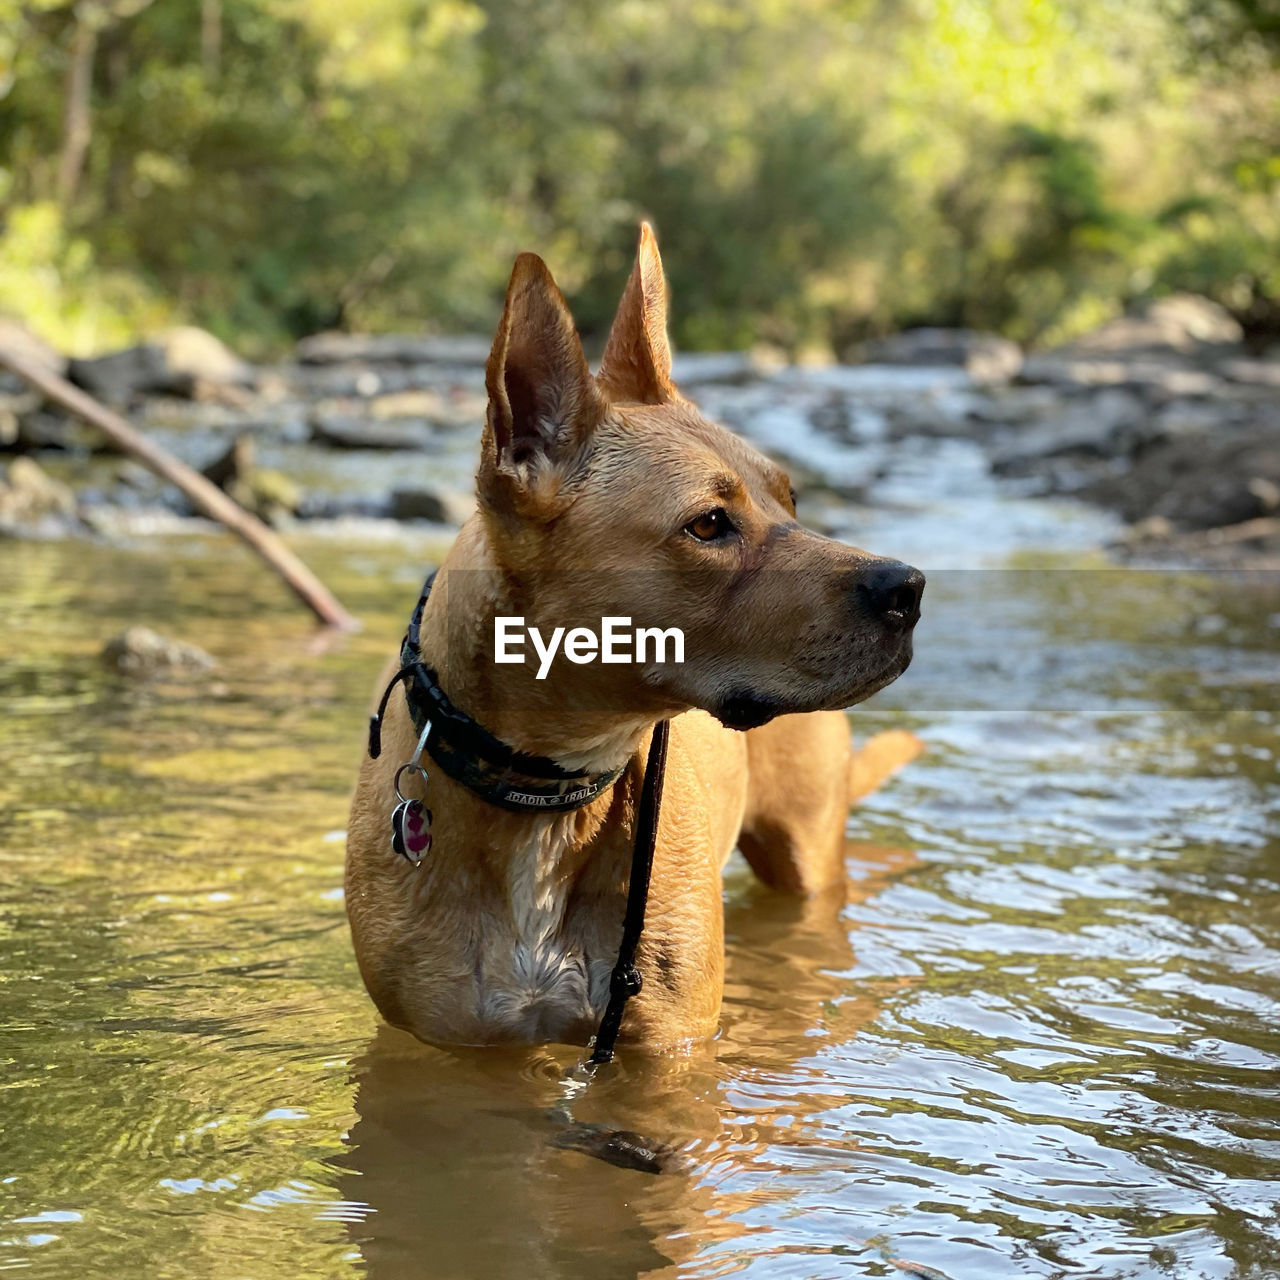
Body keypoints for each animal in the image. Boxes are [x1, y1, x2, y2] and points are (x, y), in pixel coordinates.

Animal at [345, 225, 916, 1054]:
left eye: (792, 499)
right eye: (708, 524)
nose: (910, 588)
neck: (547, 791)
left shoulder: (666, 1047)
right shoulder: (446, 1044)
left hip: (808, 852)